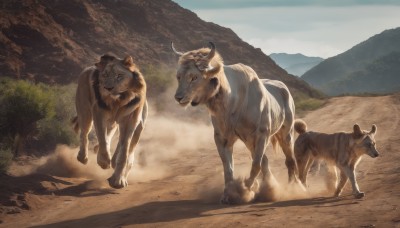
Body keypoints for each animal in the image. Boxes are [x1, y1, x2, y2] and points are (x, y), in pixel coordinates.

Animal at [71, 53, 147, 189]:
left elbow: (123, 152)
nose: (108, 88)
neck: (119, 101)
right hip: (85, 111)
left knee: (112, 138)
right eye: (105, 75)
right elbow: (102, 138)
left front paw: (118, 180)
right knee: (84, 133)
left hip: (121, 124)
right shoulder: (98, 113)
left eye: (119, 76)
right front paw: (103, 161)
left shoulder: (130, 120)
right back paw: (83, 157)